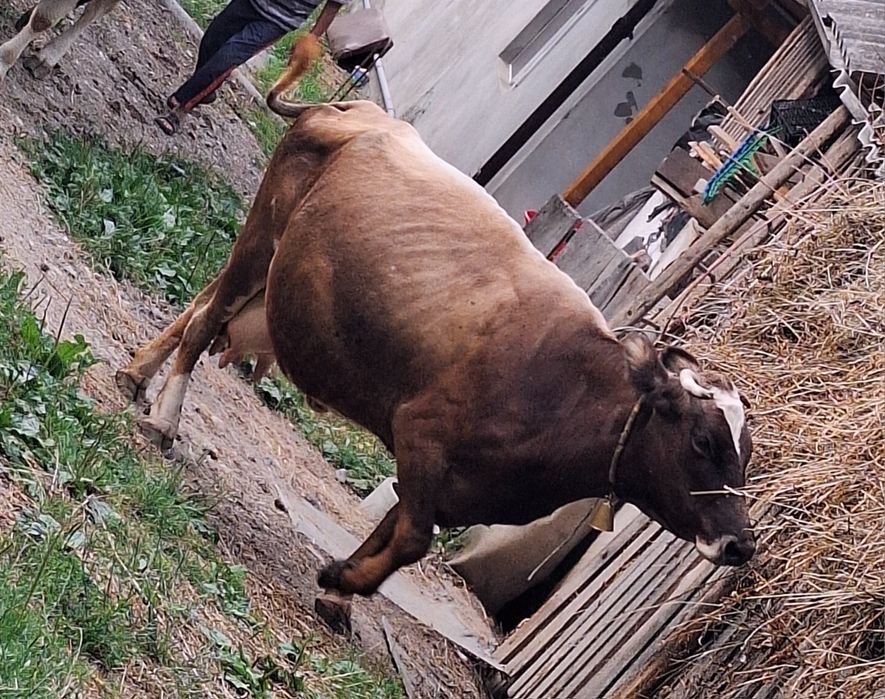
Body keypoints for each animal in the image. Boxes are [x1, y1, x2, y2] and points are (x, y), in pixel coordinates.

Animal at [115, 35, 756, 626]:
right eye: (703, 441)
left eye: (747, 451)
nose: (740, 545)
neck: (562, 392)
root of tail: (362, 113)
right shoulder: (420, 434)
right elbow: (412, 538)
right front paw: (345, 580)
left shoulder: (457, 487)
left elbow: (394, 527)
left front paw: (341, 583)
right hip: (264, 229)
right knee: (205, 320)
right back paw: (164, 417)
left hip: (271, 267)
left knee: (201, 304)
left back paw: (136, 374)